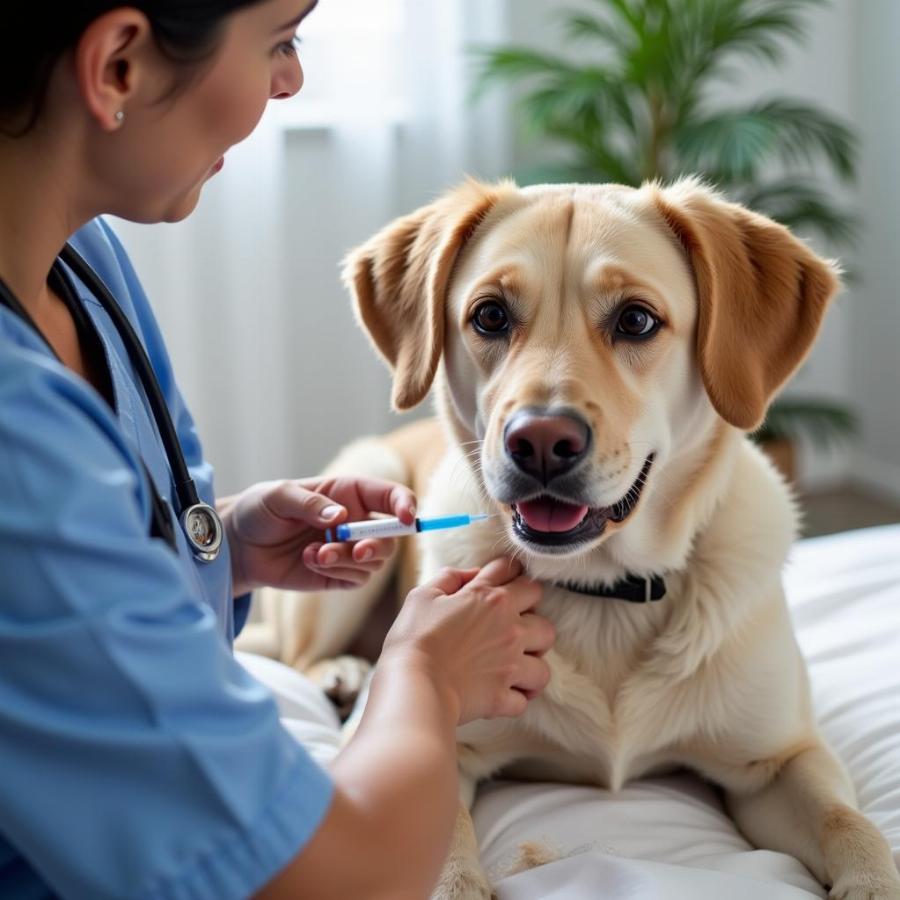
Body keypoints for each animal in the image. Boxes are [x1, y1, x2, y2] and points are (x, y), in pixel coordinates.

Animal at [239, 178, 900, 900]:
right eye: (490, 316)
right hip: (369, 487)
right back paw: (340, 672)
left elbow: (850, 824)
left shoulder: (781, 758)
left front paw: (872, 880)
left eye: (636, 320)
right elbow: (439, 846)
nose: (539, 441)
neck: (604, 590)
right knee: (299, 654)